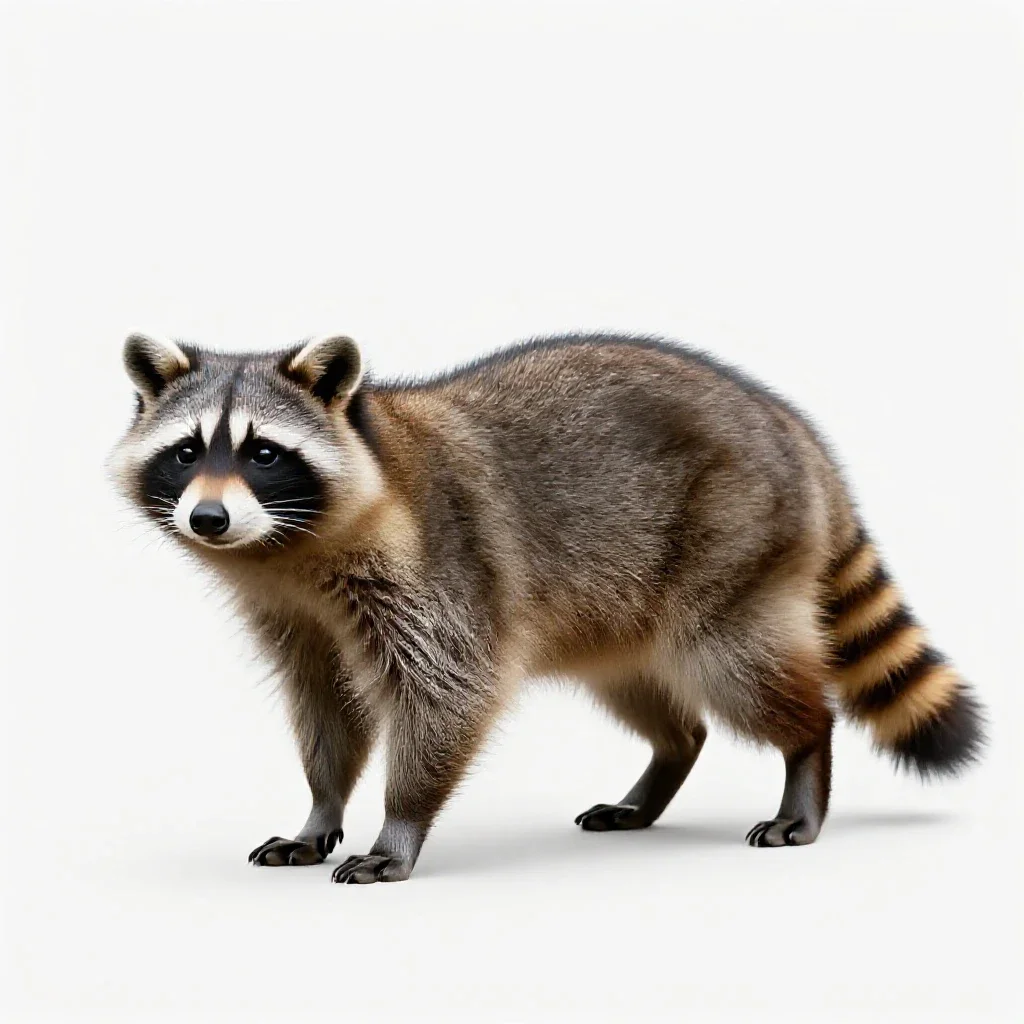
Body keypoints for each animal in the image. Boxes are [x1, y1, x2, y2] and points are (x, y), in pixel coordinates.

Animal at [111, 331, 984, 882]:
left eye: (263, 452)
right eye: (187, 451)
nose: (208, 519)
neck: (288, 551)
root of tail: (798, 433)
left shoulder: (439, 571)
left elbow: (448, 693)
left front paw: (400, 822)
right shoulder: (296, 617)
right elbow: (325, 706)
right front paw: (320, 809)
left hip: (736, 545)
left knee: (741, 670)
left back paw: (805, 754)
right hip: (623, 607)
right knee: (661, 705)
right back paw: (664, 766)